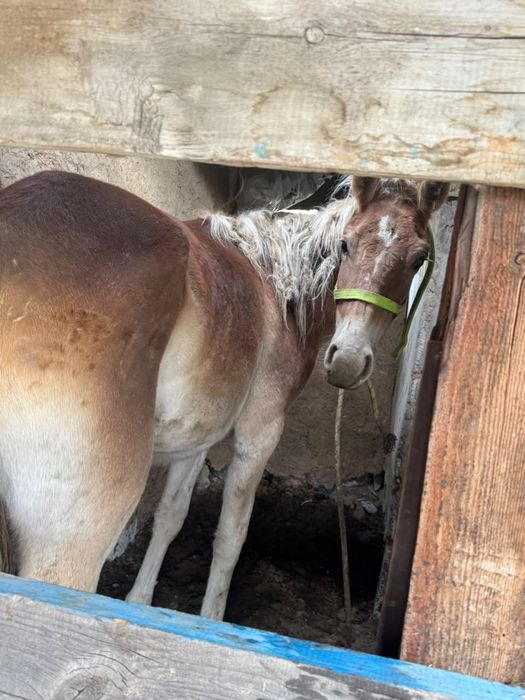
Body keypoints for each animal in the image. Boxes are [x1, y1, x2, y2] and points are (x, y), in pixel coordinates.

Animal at [0, 170, 448, 620]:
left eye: (417, 259)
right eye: (345, 244)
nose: (348, 361)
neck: (276, 286)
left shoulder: (195, 436)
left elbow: (170, 516)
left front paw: (140, 602)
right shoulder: (259, 433)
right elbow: (231, 538)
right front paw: (210, 619)